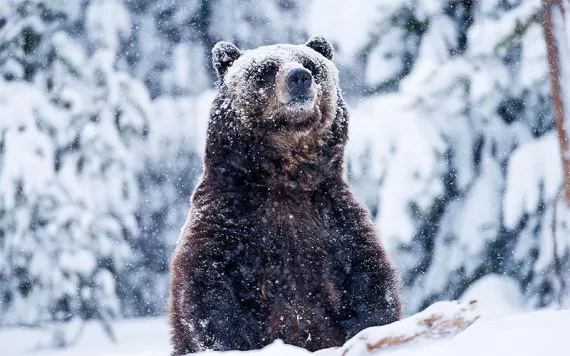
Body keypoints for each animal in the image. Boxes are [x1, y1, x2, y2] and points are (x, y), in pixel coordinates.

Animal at [168, 36, 400, 354]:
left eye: (311, 64)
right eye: (266, 69)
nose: (299, 77)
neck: (286, 179)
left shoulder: (334, 220)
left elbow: (369, 283)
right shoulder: (228, 218)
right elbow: (208, 291)